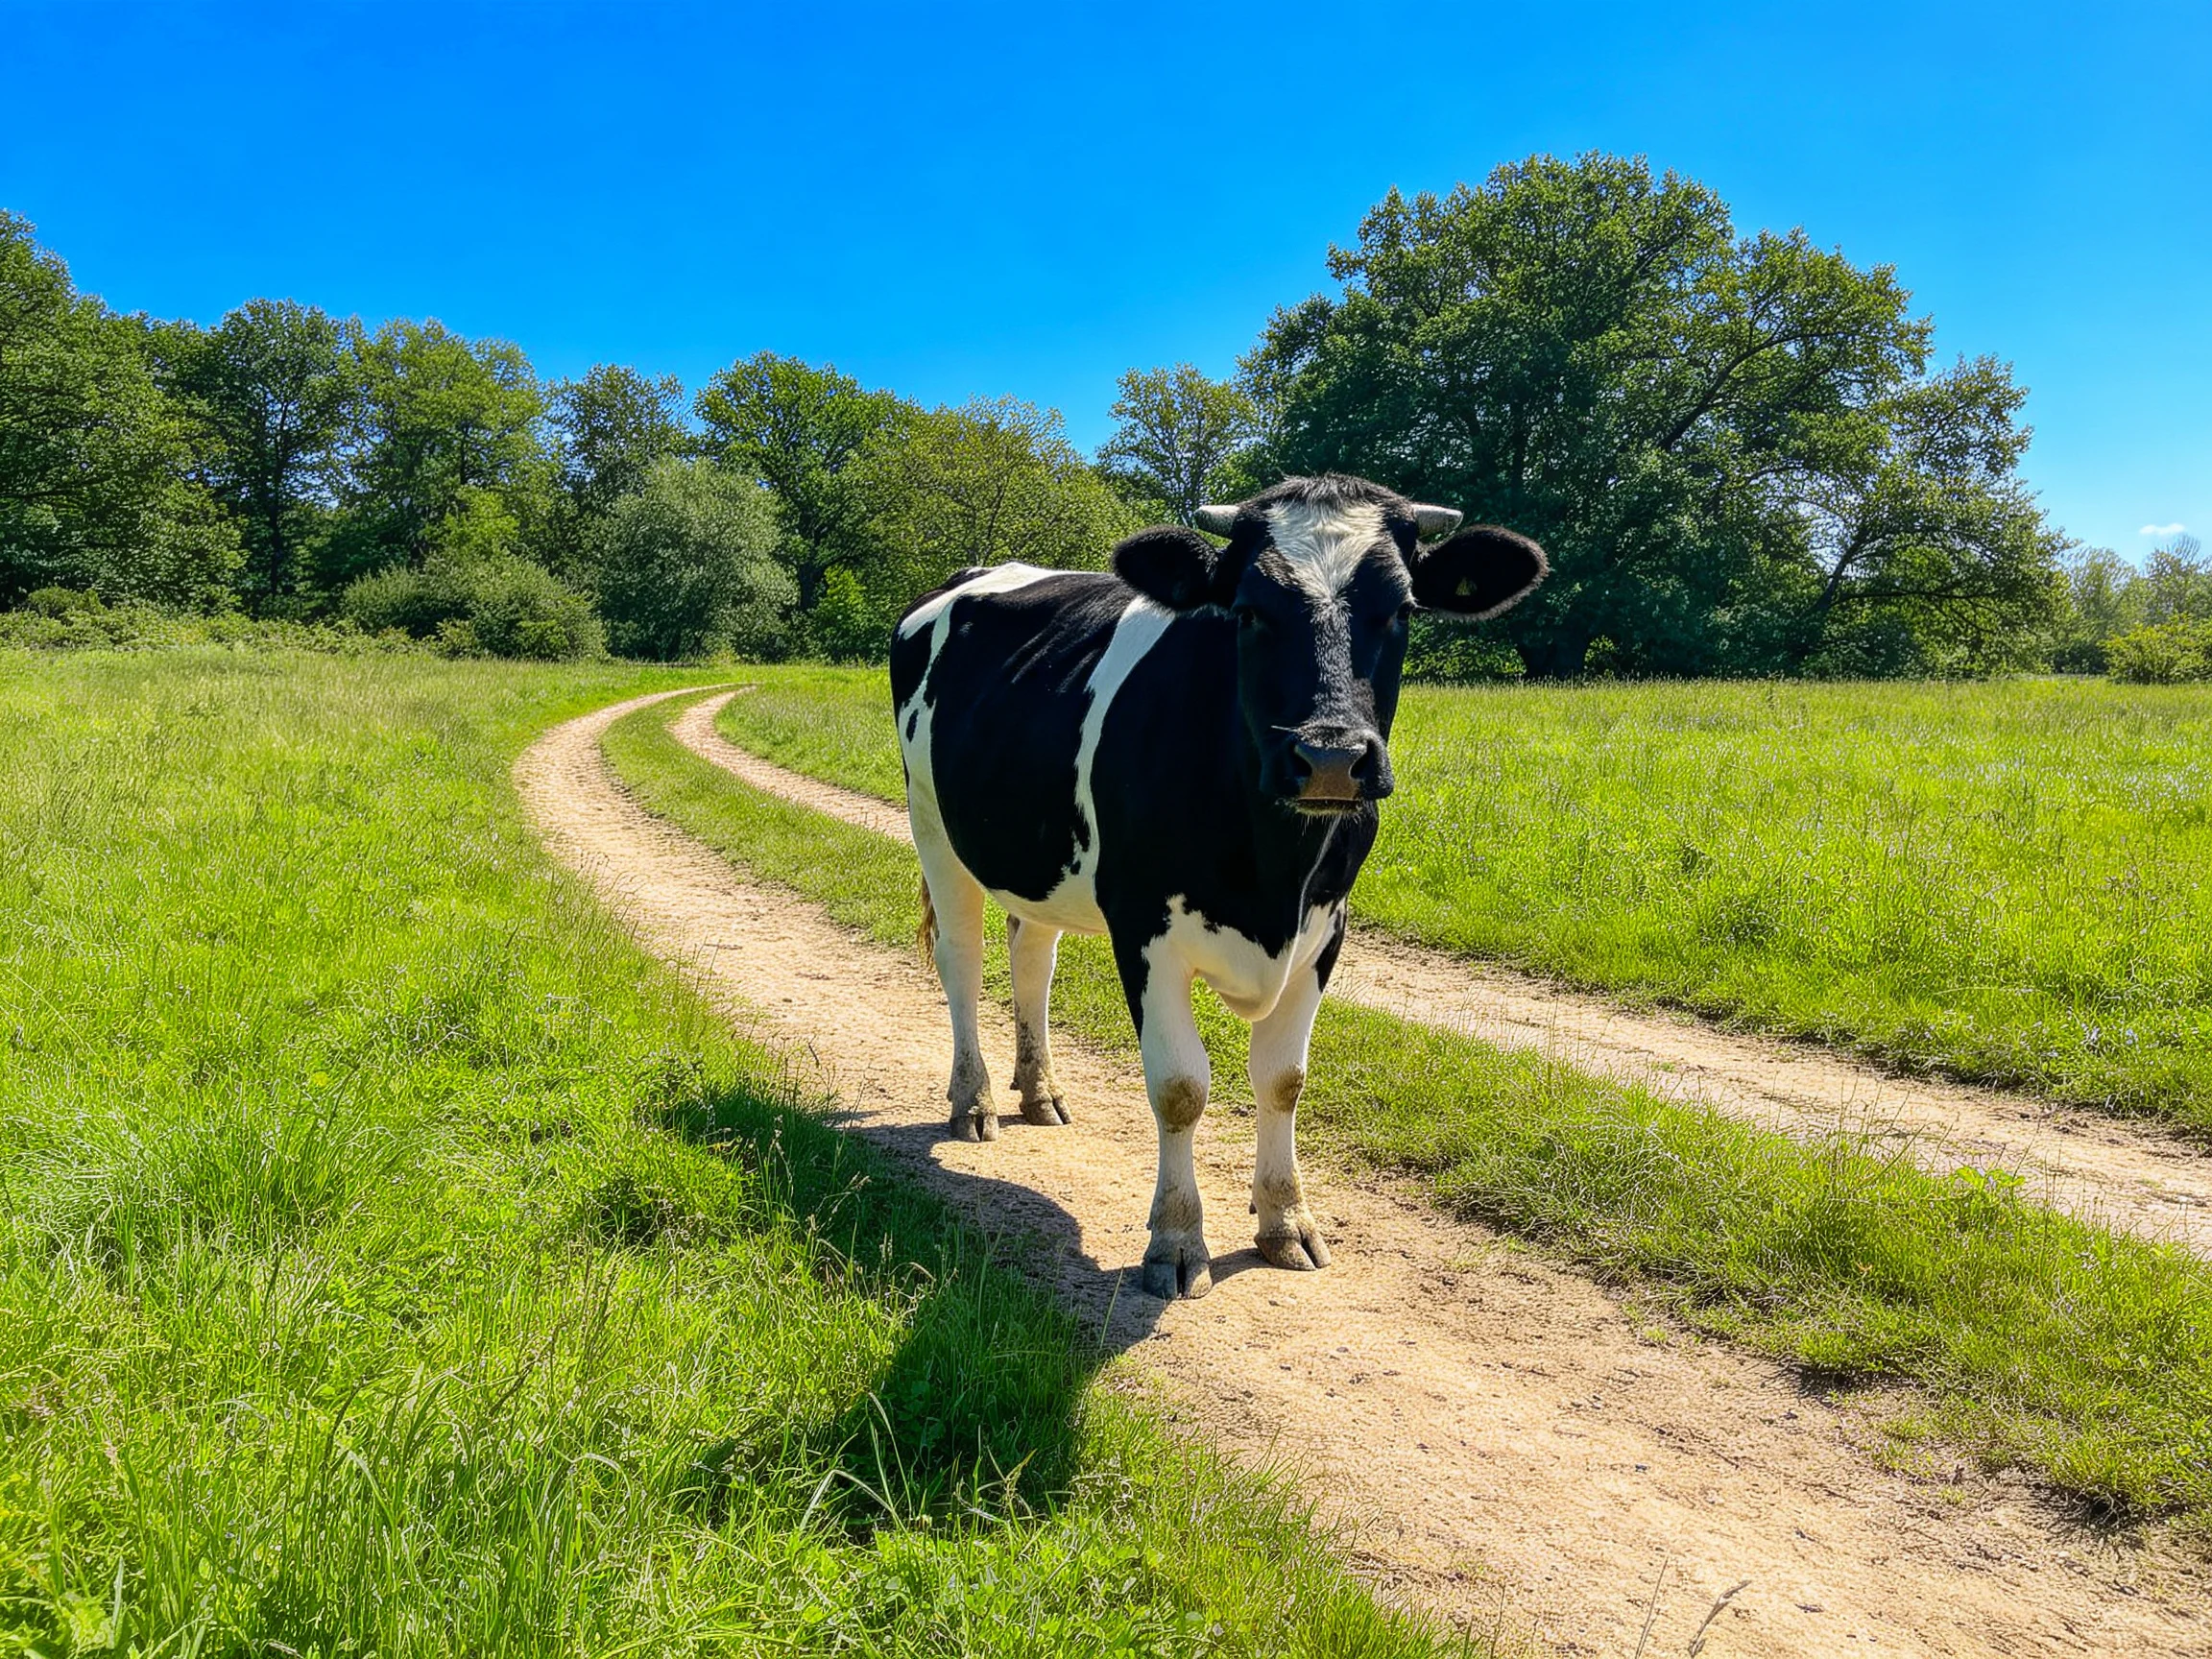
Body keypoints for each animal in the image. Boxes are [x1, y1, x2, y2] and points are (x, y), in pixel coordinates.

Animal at [890, 474, 1545, 1299]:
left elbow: (1284, 1079)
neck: (1272, 874)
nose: (1330, 758)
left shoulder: (1327, 928)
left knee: (1032, 959)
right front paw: (1175, 1240)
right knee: (964, 962)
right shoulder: (1143, 925)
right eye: (1250, 609)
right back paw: (972, 1100)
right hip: (934, 826)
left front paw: (1284, 1220)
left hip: (1035, 853)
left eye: (1400, 609)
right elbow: (1180, 1087)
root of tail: (972, 574)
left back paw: (1039, 1093)